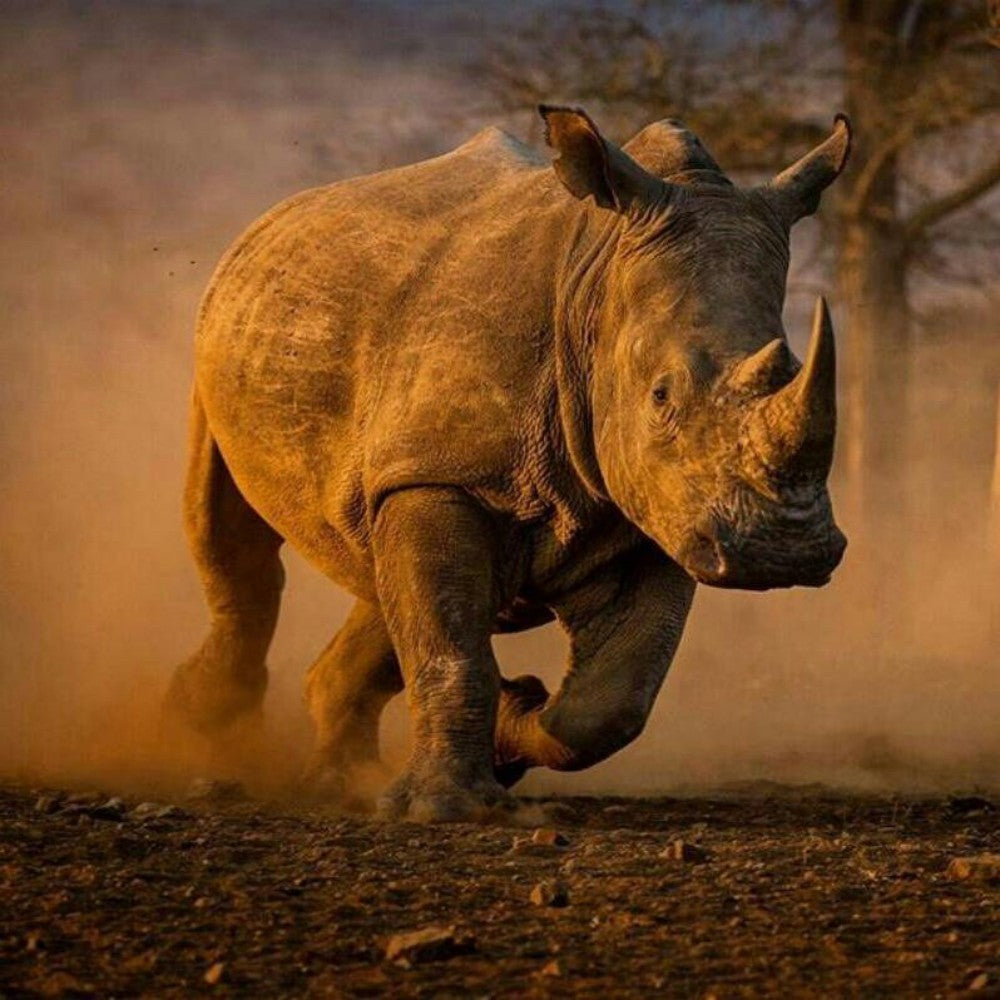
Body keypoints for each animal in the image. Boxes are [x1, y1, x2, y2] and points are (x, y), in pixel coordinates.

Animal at [167, 105, 851, 821]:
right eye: (661, 396)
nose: (782, 554)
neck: (597, 282)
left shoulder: (662, 508)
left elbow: (614, 702)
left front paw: (509, 727)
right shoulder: (443, 473)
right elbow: (449, 648)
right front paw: (447, 809)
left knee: (381, 570)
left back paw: (341, 780)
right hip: (230, 336)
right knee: (231, 538)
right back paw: (203, 731)